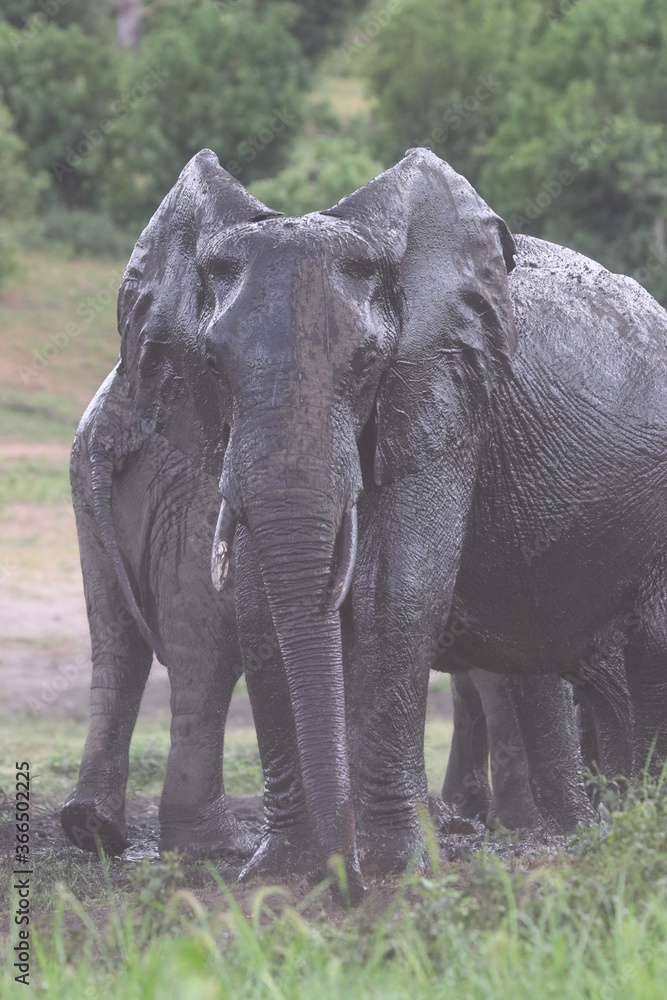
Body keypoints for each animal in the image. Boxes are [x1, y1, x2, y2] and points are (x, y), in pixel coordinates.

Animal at [60, 370, 255, 860]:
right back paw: (220, 846)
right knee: (211, 658)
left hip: (90, 492)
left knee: (117, 644)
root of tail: (111, 431)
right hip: (198, 496)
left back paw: (90, 826)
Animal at [109, 145, 667, 899]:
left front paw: (395, 871)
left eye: (368, 362)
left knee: (647, 645)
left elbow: (393, 593)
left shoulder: (445, 394)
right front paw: (280, 875)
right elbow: (258, 608)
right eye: (214, 363)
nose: (341, 878)